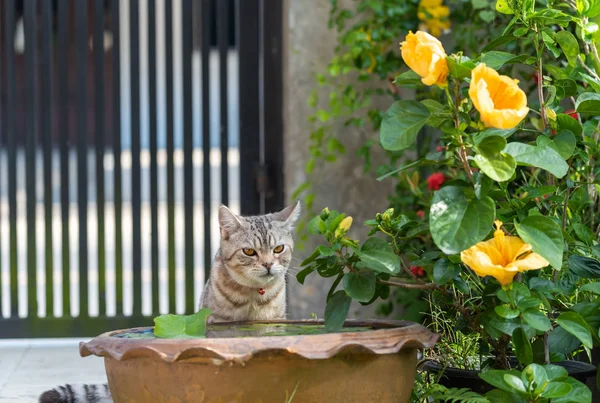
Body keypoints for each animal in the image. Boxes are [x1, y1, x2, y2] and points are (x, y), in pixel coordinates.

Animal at [38, 205, 298, 403]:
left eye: (278, 249)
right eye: (249, 252)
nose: (268, 265)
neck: (253, 295)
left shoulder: (273, 325)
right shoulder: (216, 327)